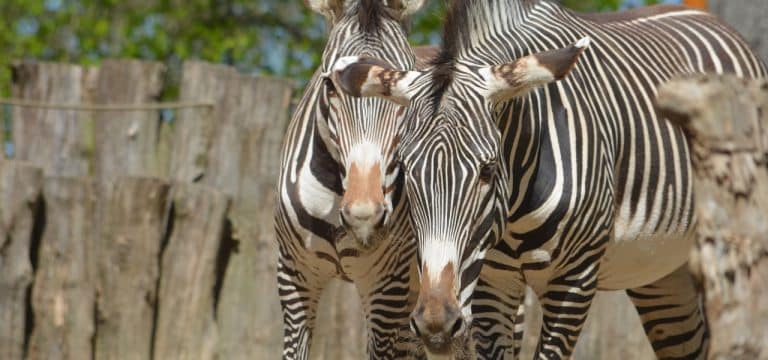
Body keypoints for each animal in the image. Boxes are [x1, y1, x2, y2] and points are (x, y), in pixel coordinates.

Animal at [332, 0, 768, 358]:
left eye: (489, 170)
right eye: (406, 170)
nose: (436, 324)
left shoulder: (575, 279)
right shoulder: (493, 283)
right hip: (662, 271)